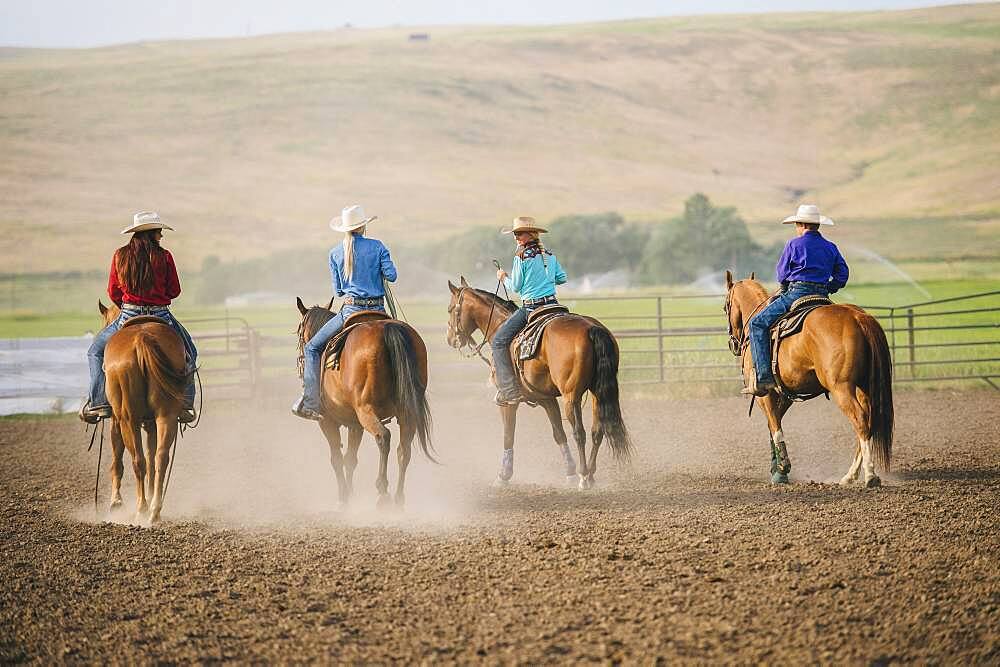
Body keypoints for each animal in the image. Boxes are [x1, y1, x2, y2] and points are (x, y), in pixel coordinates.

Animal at [96, 300, 192, 524]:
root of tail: (142, 338)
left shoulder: (116, 420)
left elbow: (118, 458)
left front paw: (116, 502)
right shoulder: (150, 424)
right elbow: (151, 457)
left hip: (127, 418)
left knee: (137, 460)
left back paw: (141, 509)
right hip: (166, 415)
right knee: (160, 458)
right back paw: (154, 510)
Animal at [290, 300, 430, 508]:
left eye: (300, 333)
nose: (300, 364)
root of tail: (387, 329)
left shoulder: (327, 421)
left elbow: (336, 458)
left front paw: (343, 498)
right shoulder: (355, 424)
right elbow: (350, 459)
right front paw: (350, 494)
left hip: (366, 411)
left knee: (383, 437)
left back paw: (383, 493)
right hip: (407, 413)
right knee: (403, 450)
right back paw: (398, 499)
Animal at [448, 276, 632, 490]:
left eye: (450, 309)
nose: (450, 339)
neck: (498, 324)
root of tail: (591, 328)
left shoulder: (508, 401)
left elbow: (508, 436)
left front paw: (503, 476)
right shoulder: (546, 398)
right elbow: (558, 433)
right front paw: (569, 472)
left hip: (571, 397)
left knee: (580, 433)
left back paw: (584, 477)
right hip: (597, 393)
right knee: (597, 431)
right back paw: (591, 475)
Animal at [724, 268, 896, 488]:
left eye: (725, 307)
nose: (733, 343)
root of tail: (858, 317)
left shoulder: (765, 395)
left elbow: (775, 427)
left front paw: (783, 468)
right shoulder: (785, 394)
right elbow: (773, 426)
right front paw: (776, 471)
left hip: (841, 388)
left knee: (860, 421)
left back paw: (870, 476)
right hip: (864, 387)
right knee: (868, 421)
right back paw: (850, 475)